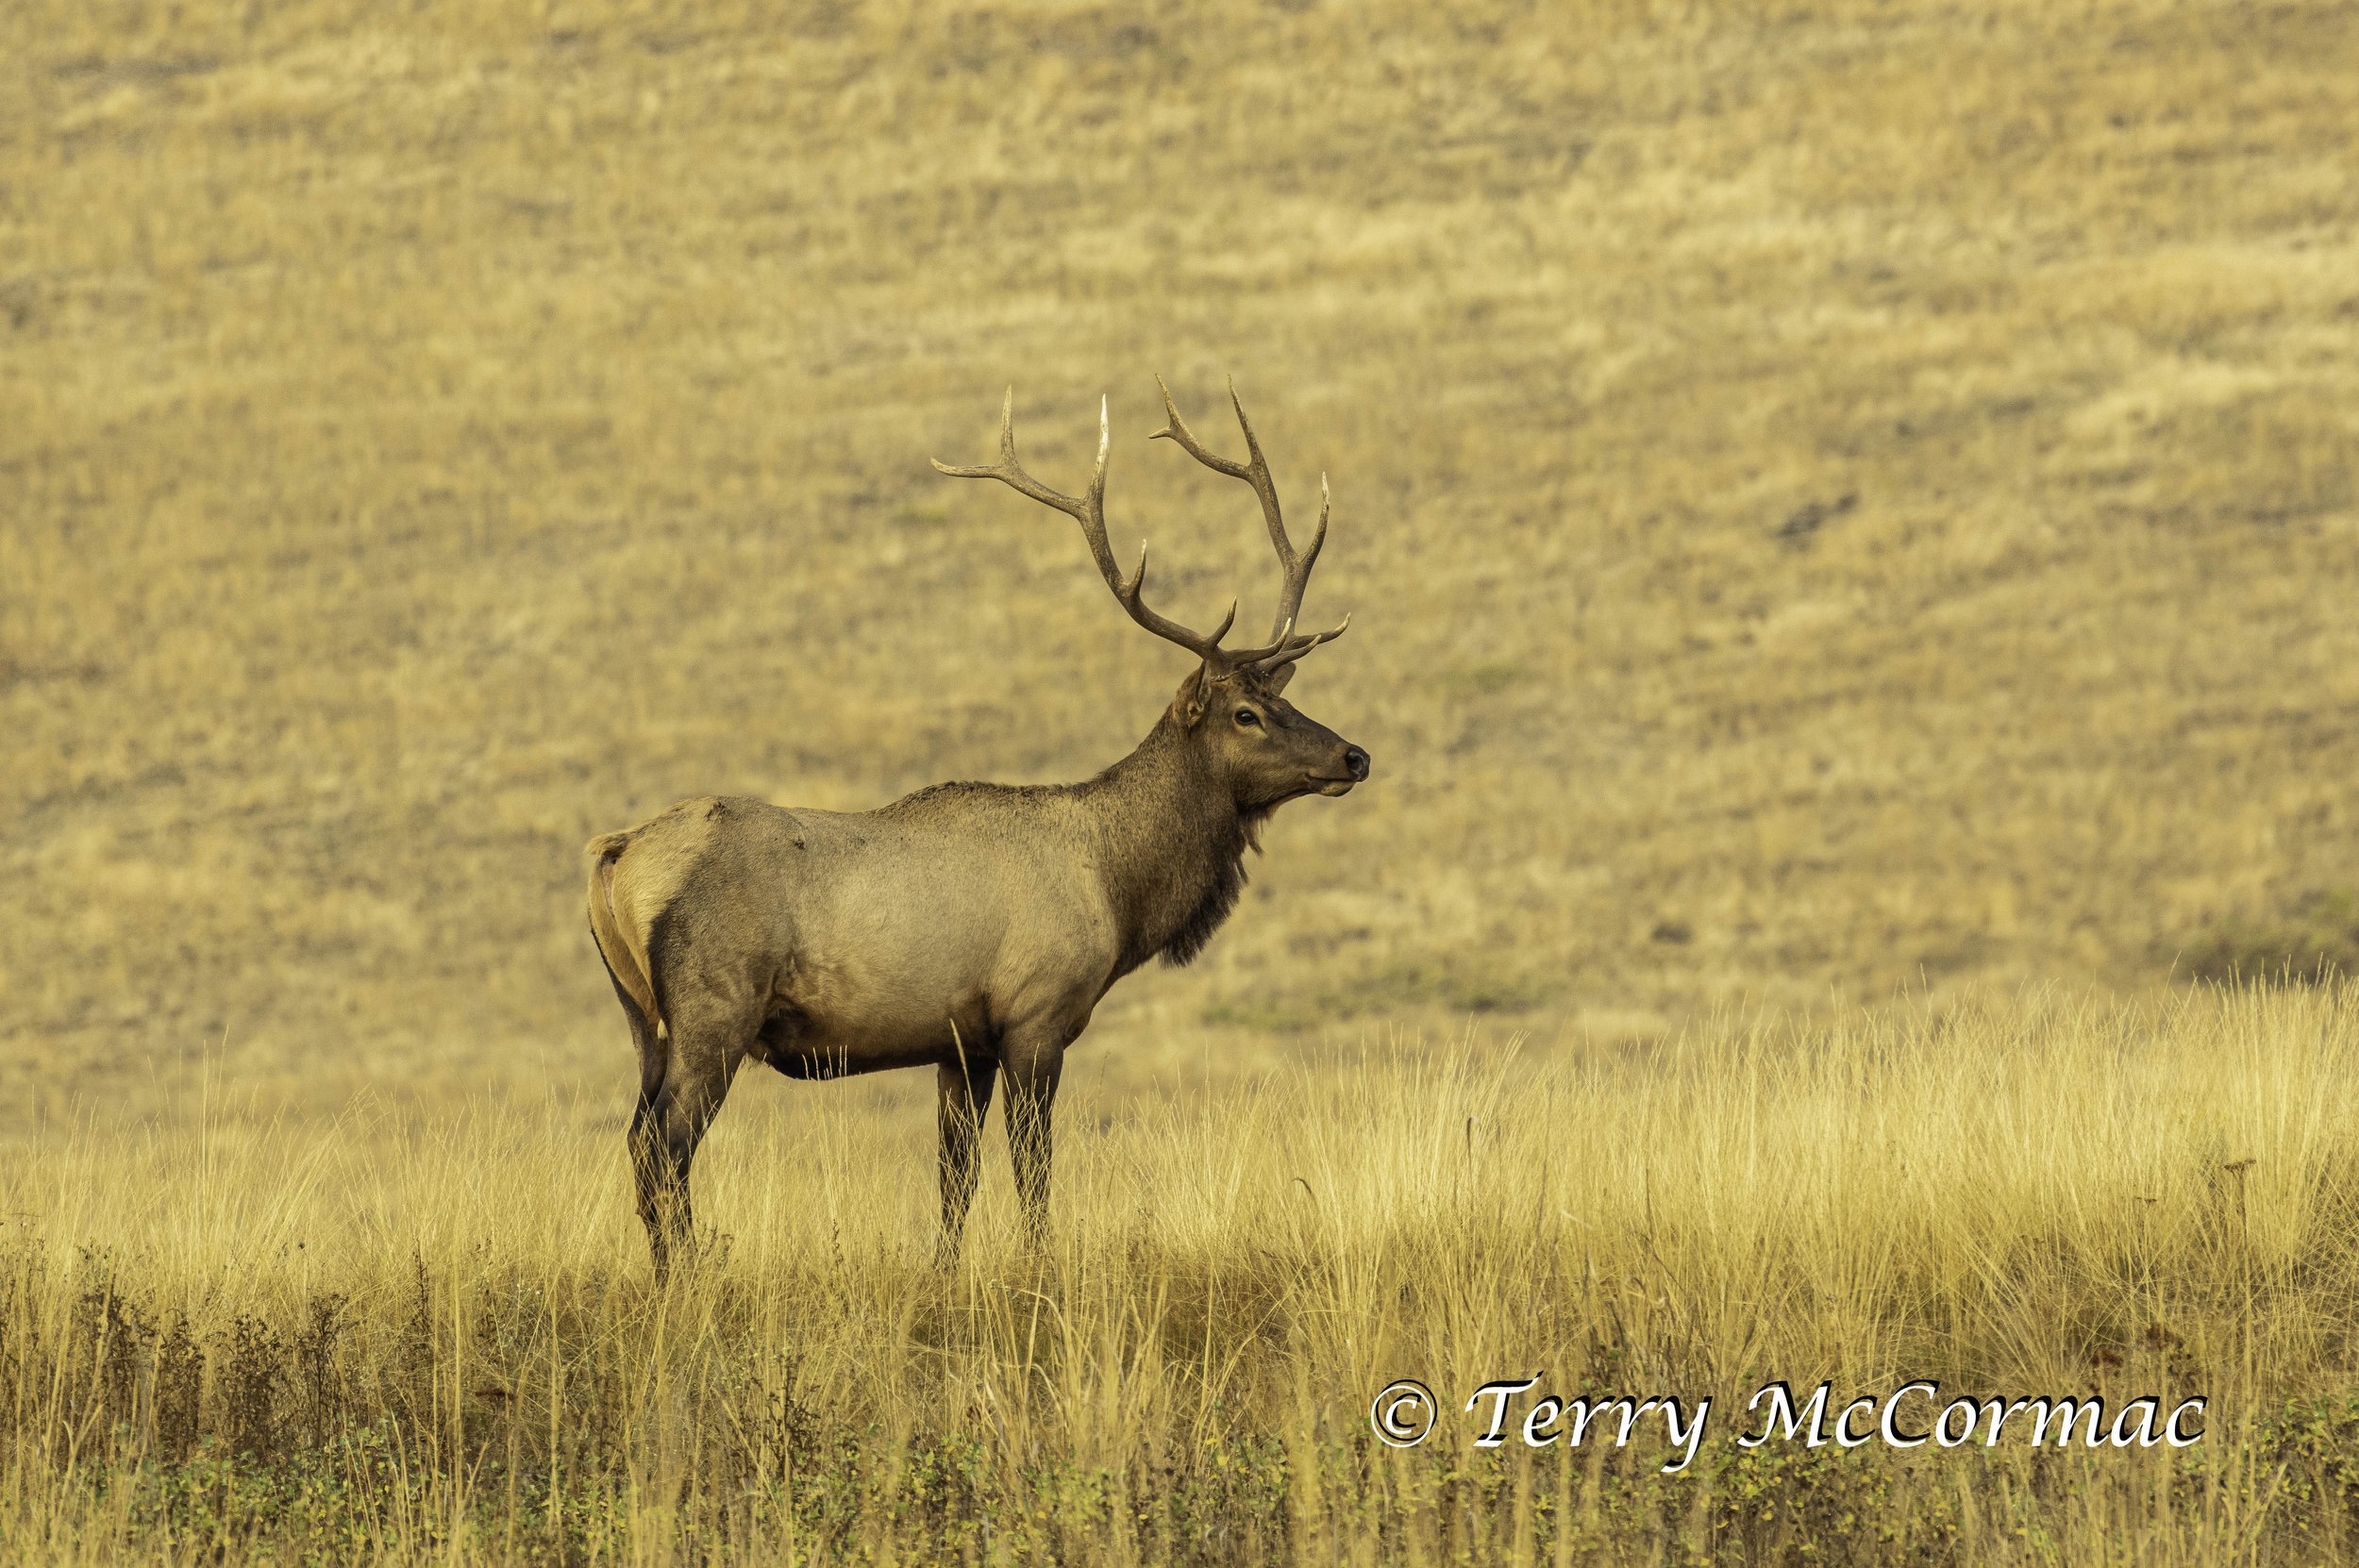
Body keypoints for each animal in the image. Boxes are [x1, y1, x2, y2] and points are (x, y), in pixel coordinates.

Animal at [584, 379, 1369, 1276]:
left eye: (1282, 698)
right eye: (1246, 713)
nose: (1353, 755)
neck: (1117, 888)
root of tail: (615, 855)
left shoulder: (962, 1043)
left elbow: (954, 1177)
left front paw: (946, 1272)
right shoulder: (1036, 1015)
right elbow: (1033, 1167)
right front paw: (1039, 1267)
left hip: (643, 1020)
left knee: (637, 1140)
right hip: (713, 1009)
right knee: (664, 1147)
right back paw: (685, 1278)